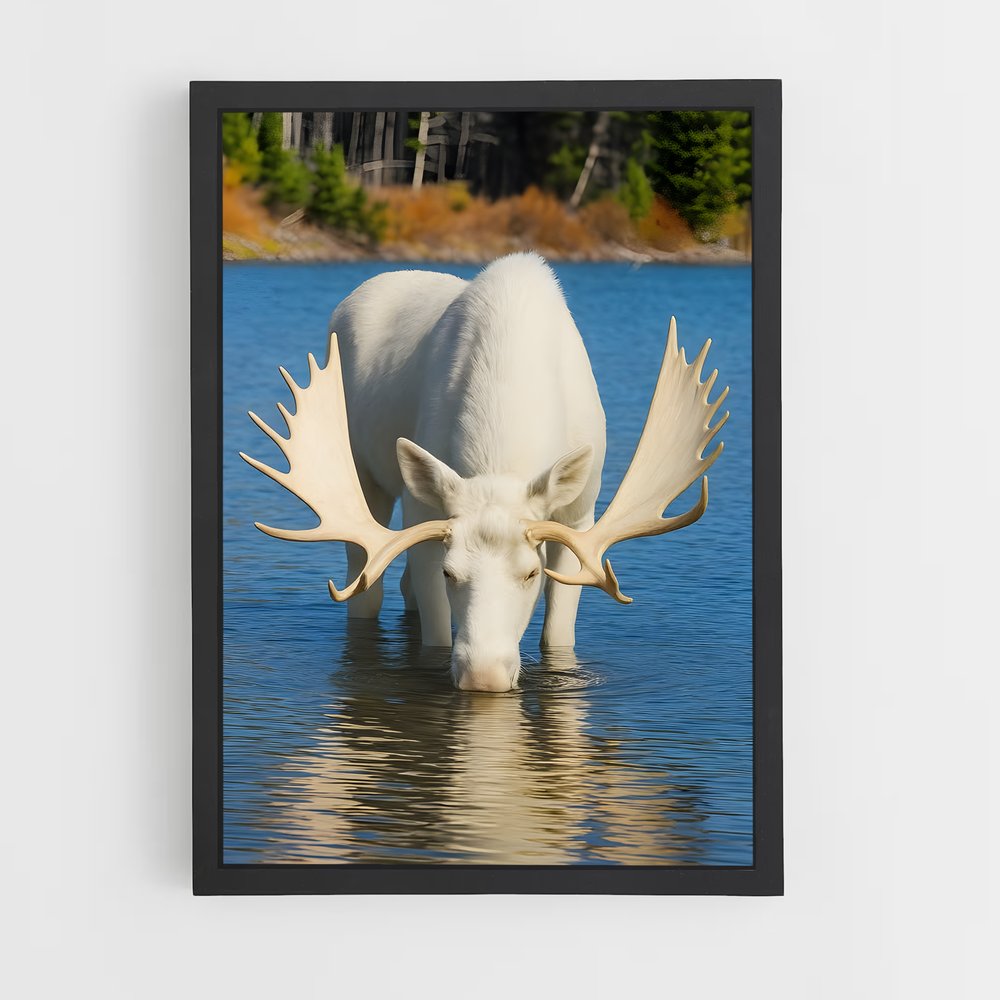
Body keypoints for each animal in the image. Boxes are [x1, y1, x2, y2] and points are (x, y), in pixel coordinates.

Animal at [241, 253, 729, 692]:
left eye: (531, 573)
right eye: (449, 573)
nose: (485, 676)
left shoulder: (578, 518)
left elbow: (558, 635)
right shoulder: (423, 516)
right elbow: (436, 637)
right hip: (365, 477)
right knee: (366, 586)